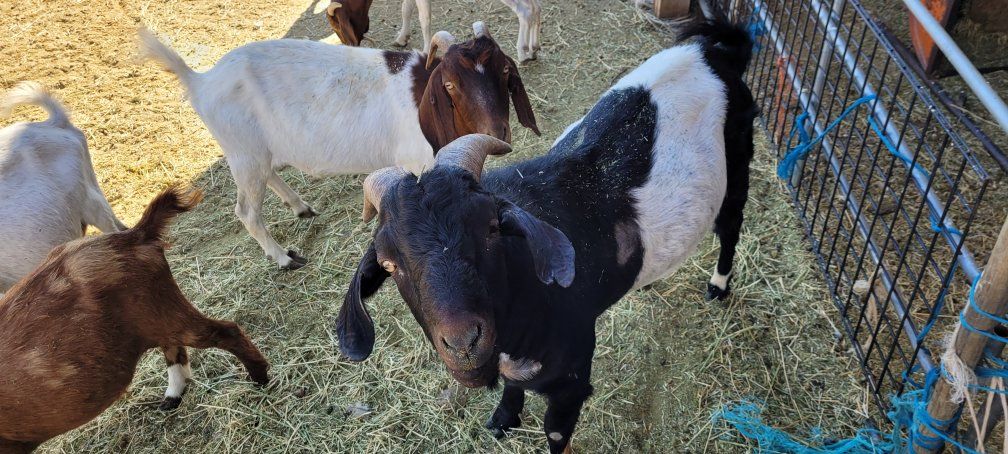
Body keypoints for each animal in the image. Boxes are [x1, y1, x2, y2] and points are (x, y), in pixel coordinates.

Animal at [0, 187, 270, 453]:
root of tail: (136, 235)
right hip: (158, 315)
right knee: (174, 349)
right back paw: (170, 400)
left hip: (165, 310)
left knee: (225, 331)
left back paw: (260, 379)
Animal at [139, 23, 539, 270]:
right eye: (451, 85)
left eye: (505, 71)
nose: (497, 130)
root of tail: (200, 81)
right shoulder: (417, 163)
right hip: (243, 150)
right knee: (247, 211)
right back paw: (285, 259)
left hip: (256, 150)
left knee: (268, 175)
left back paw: (300, 207)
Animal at [326, 0, 543, 62]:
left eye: (336, 26)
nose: (349, 45)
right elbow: (406, 8)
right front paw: (402, 38)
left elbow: (424, 17)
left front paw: (424, 50)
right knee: (536, 7)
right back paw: (534, 48)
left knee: (525, 10)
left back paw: (522, 51)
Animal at [334, 21, 756, 453]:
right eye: (389, 263)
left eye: (491, 229)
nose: (464, 343)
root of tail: (711, 50)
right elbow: (512, 387)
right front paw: (504, 417)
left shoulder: (571, 381)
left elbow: (555, 431)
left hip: (738, 163)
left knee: (731, 226)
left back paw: (719, 285)